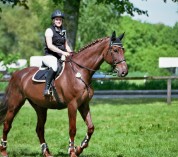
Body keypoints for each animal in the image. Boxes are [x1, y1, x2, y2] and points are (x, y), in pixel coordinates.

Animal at [0, 31, 128, 156]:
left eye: (123, 50)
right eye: (115, 50)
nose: (124, 72)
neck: (80, 72)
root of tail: (17, 73)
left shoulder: (84, 104)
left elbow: (91, 127)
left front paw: (78, 149)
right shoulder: (72, 105)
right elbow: (72, 129)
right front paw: (72, 151)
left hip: (40, 107)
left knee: (39, 129)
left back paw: (47, 153)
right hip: (15, 104)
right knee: (7, 124)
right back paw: (4, 151)